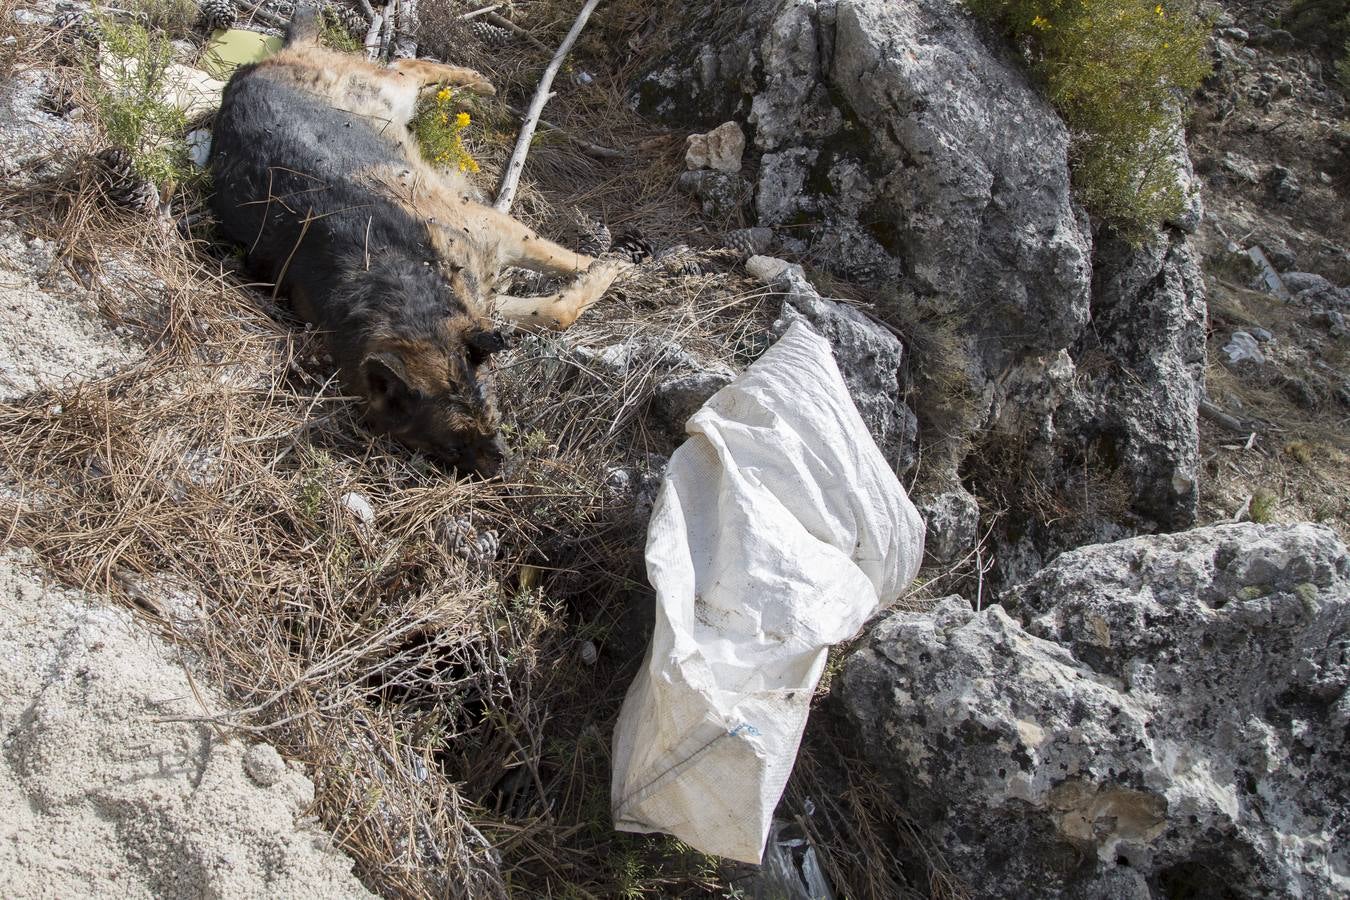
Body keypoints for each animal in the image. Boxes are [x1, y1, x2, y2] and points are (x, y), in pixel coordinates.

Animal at [209, 8, 626, 477]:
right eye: (451, 447)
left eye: (489, 414)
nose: (504, 473)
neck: (400, 283)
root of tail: (261, 64)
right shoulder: (484, 299)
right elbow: (552, 313)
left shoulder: (493, 229)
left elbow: (562, 277)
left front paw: (613, 267)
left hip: (387, 92)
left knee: (409, 65)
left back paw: (475, 80)